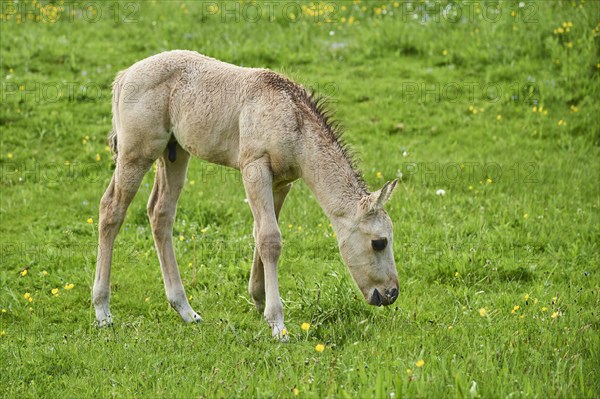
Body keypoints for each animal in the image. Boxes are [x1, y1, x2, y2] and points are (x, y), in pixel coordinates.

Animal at [92, 48, 398, 340]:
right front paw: (277, 324)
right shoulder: (254, 169)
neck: (293, 120)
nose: (392, 293)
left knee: (160, 214)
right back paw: (103, 311)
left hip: (174, 153)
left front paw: (259, 300)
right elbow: (270, 239)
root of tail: (124, 76)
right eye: (379, 242)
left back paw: (186, 310)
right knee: (111, 209)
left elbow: (260, 233)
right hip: (137, 153)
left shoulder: (281, 183)